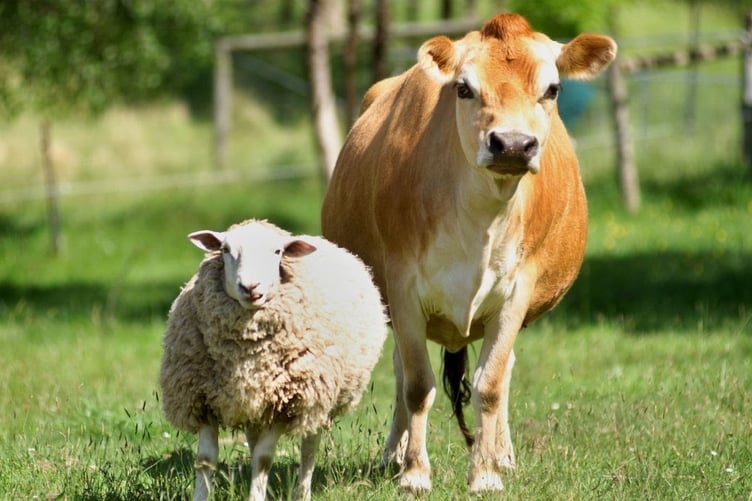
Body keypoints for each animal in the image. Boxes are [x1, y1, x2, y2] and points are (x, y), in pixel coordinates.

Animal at [159, 219, 388, 501]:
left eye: (278, 252)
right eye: (225, 249)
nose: (250, 287)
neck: (244, 353)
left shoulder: (285, 404)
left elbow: (264, 459)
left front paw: (256, 496)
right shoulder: (201, 399)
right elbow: (205, 460)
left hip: (316, 400)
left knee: (309, 448)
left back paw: (303, 493)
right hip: (252, 402)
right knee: (253, 438)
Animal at [321, 13, 616, 494]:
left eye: (553, 89)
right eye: (463, 88)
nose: (512, 144)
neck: (480, 222)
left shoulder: (516, 293)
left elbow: (490, 383)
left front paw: (486, 474)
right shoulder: (402, 289)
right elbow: (417, 384)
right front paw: (414, 473)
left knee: (504, 368)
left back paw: (502, 453)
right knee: (402, 371)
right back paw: (394, 454)